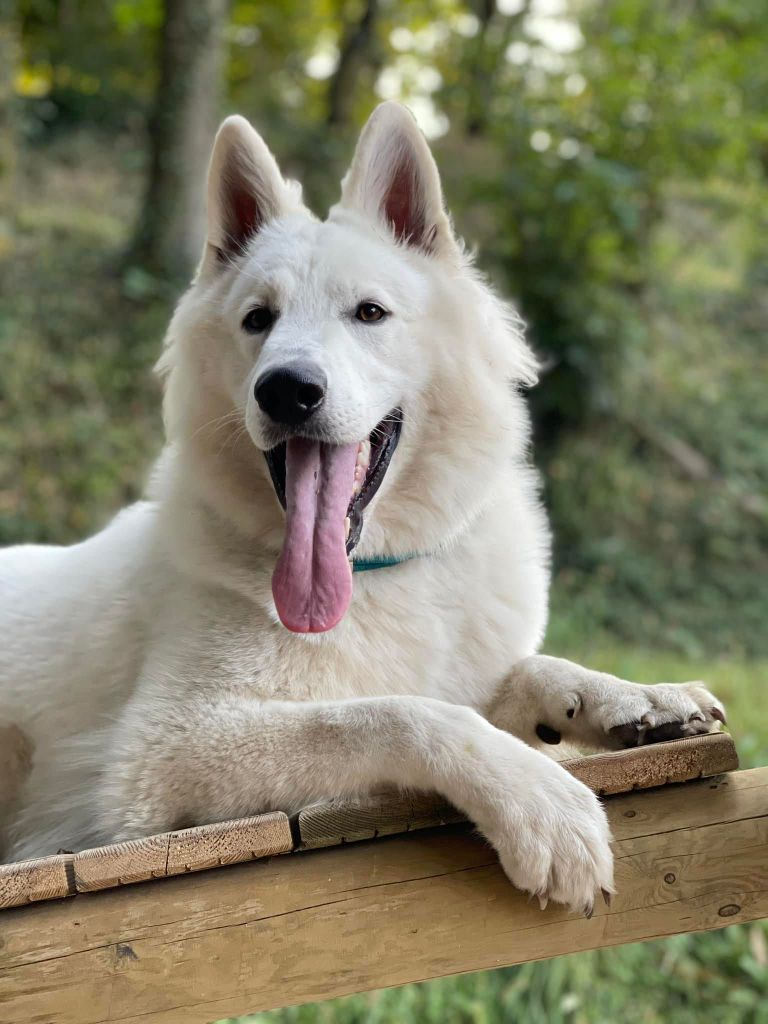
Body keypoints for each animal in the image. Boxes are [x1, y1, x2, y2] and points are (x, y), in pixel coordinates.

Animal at [0, 99, 724, 909]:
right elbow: (396, 713)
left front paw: (631, 698)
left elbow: (525, 671)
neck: (380, 571)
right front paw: (540, 801)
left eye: (370, 313)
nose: (286, 390)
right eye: (258, 319)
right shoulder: (167, 748)